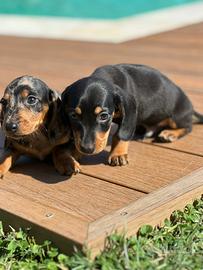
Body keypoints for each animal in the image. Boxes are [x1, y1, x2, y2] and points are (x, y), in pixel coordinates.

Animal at [61, 64, 203, 167]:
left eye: (104, 116)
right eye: (73, 115)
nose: (86, 149)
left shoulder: (130, 113)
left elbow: (120, 135)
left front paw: (118, 154)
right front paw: (75, 151)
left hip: (176, 116)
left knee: (188, 127)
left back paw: (169, 133)